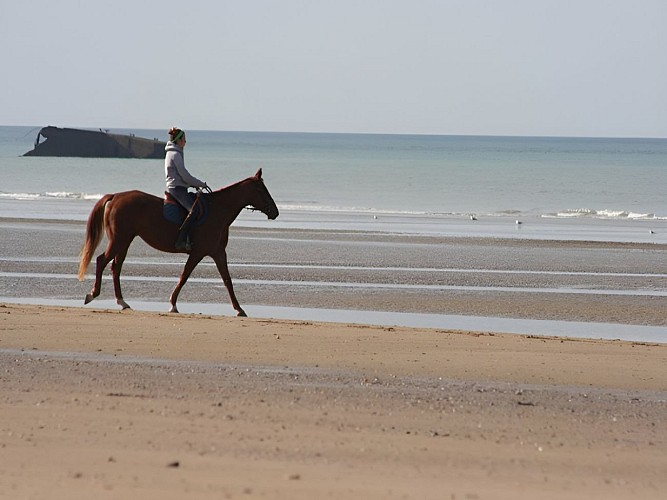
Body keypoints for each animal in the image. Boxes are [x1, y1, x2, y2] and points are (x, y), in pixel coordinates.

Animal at [77, 168, 278, 317]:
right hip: (119, 240)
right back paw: (93, 294)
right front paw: (173, 304)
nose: (275, 212)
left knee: (116, 267)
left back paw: (122, 302)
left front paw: (239, 309)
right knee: (102, 260)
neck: (218, 211)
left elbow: (227, 279)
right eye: (261, 190)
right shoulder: (198, 252)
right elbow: (184, 276)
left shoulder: (218, 252)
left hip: (125, 241)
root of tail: (115, 196)